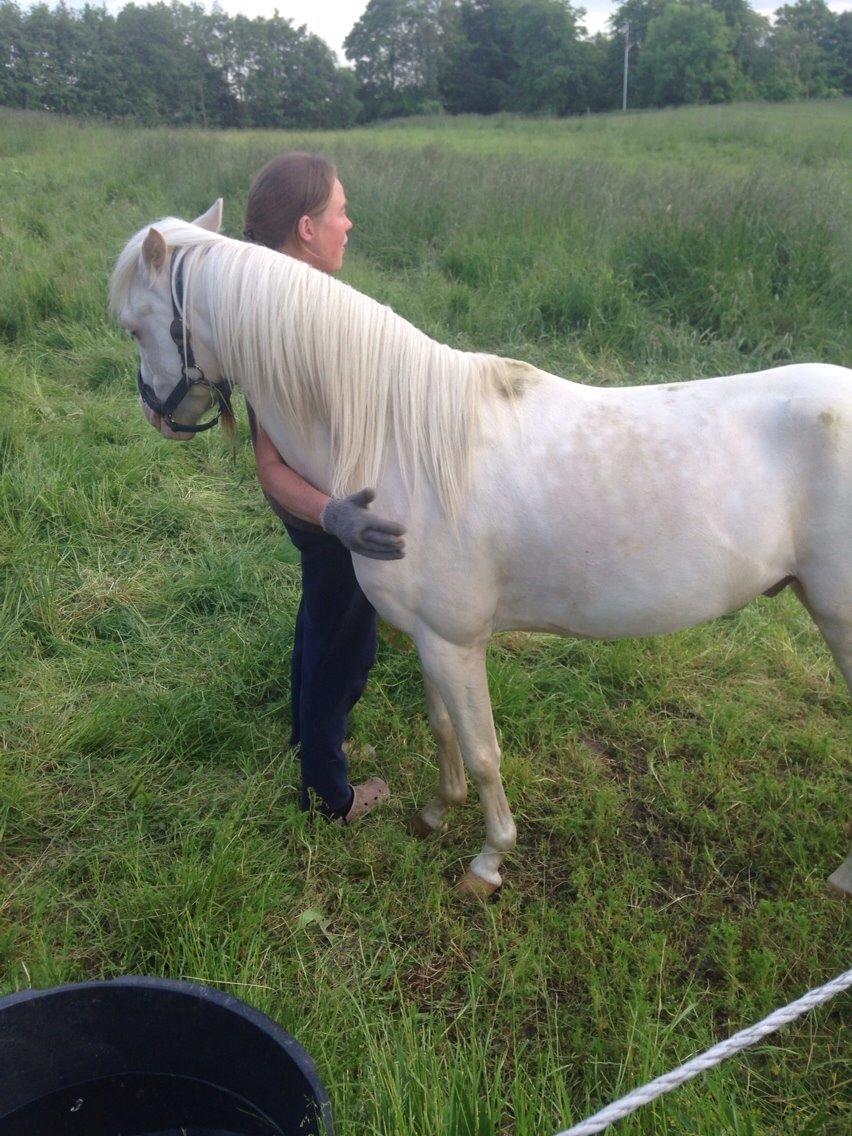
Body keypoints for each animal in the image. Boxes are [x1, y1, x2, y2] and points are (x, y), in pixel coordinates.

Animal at [111, 201, 852, 898]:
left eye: (135, 327)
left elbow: (483, 749)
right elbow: (445, 733)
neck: (400, 436)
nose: (155, 413)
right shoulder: (428, 639)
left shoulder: (456, 641)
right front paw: (435, 815)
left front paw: (489, 861)